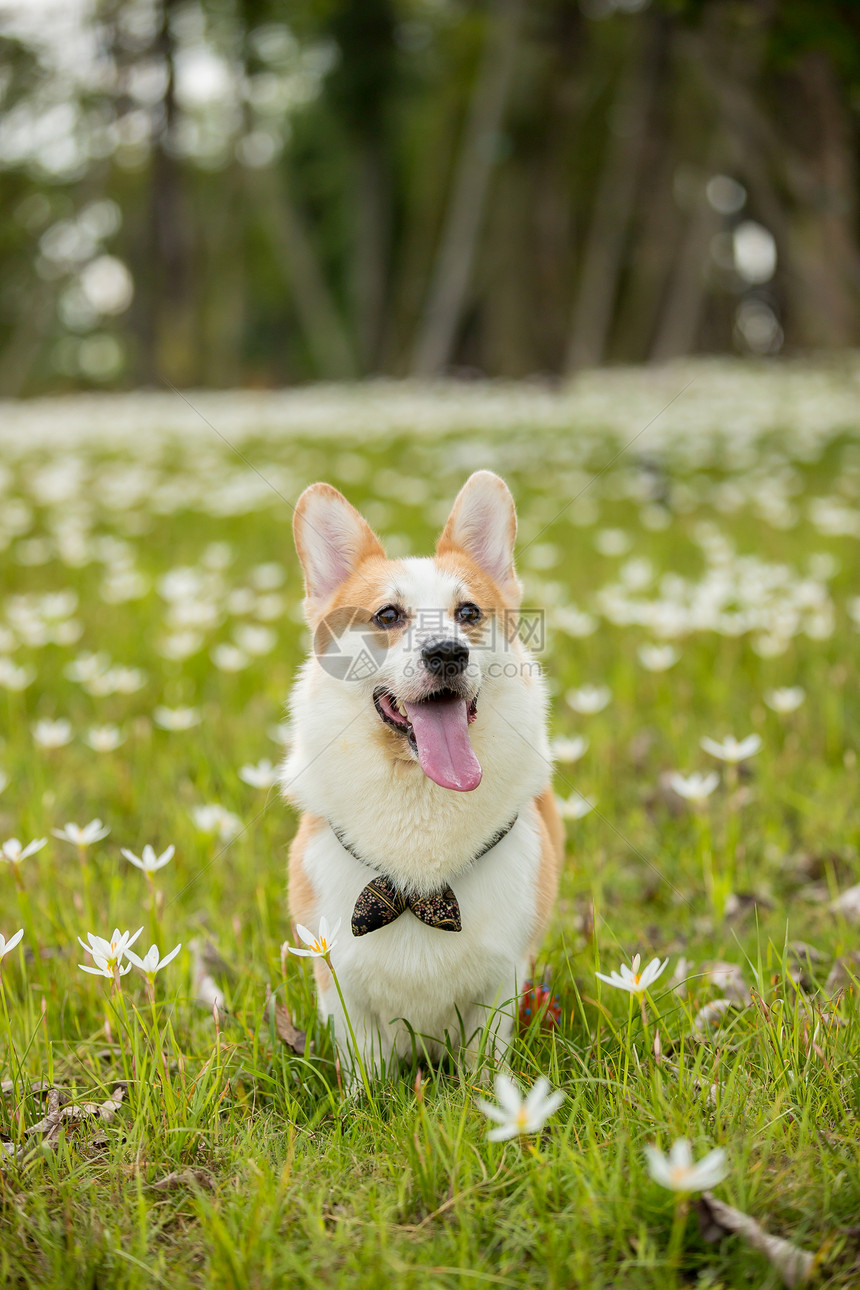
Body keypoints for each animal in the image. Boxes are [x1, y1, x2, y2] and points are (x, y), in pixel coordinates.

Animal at [283, 469, 564, 1073]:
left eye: (469, 613)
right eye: (388, 616)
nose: (447, 653)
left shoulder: (501, 979)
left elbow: (485, 1060)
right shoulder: (340, 983)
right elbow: (363, 1065)